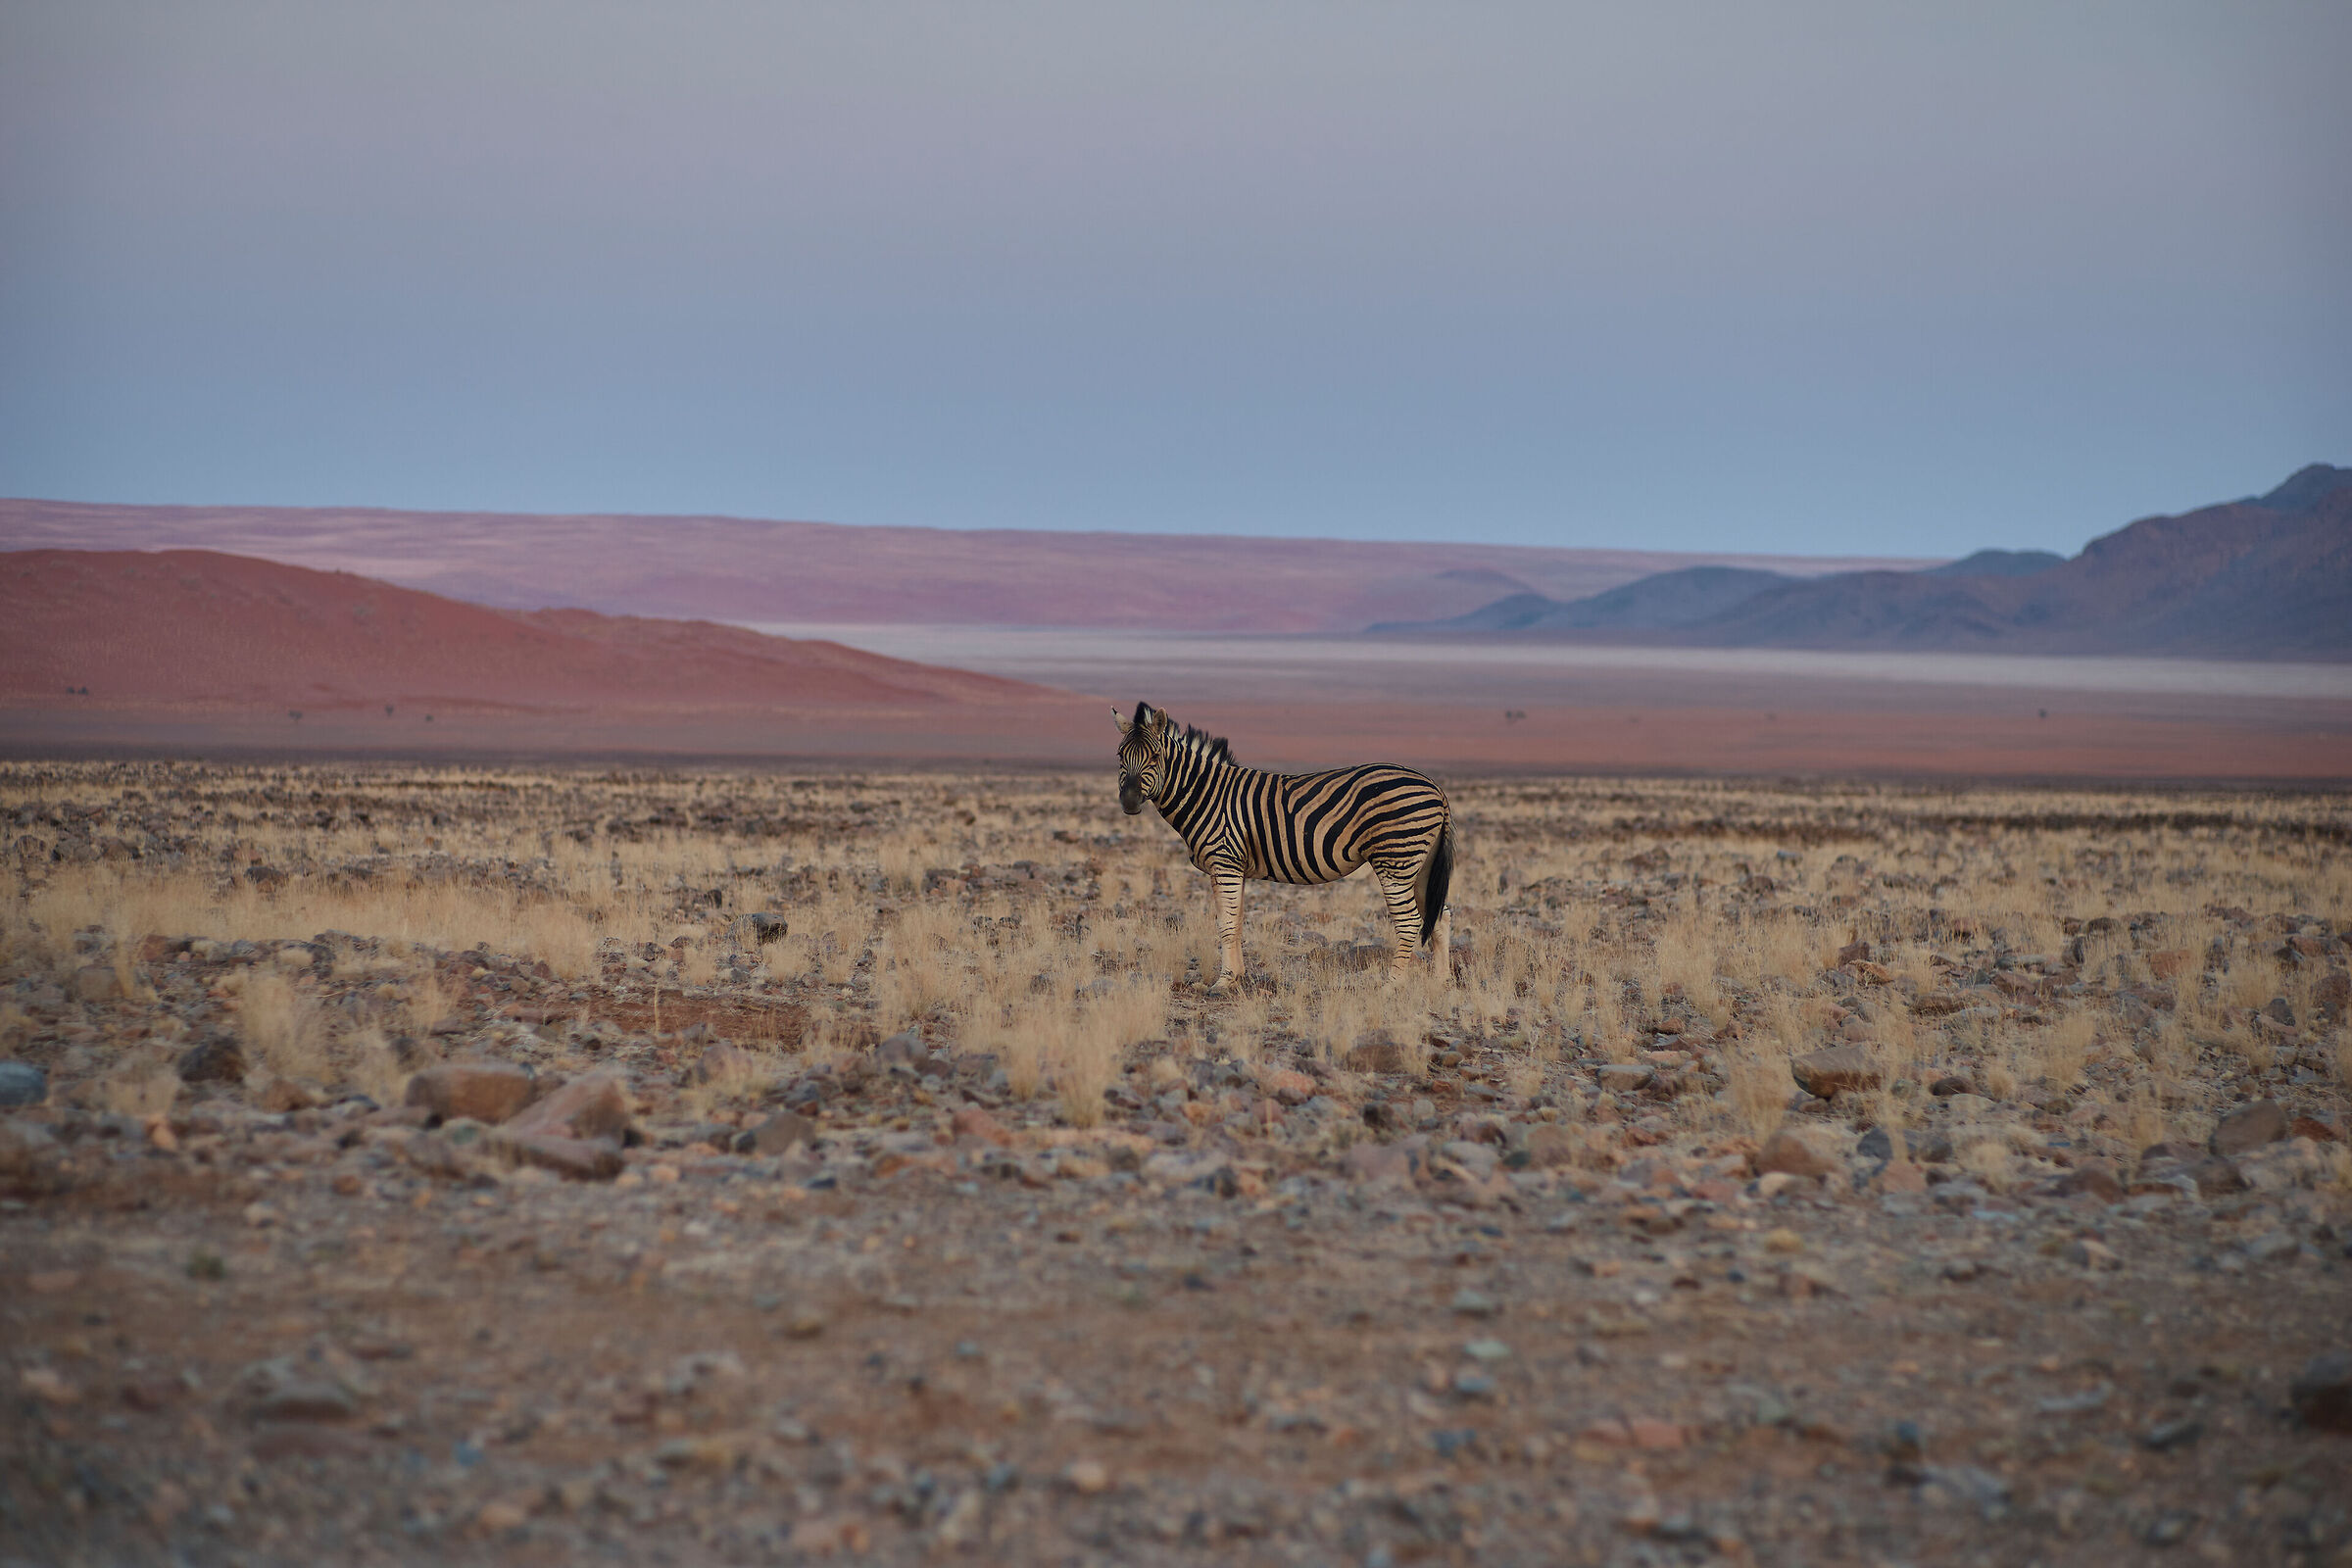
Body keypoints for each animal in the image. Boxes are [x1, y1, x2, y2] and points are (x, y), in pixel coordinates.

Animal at [1113, 701, 1454, 989]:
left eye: (1155, 757)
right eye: (1120, 756)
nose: (1129, 801)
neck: (1205, 794)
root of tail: (1436, 787)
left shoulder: (1225, 862)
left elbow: (1226, 924)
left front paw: (1223, 982)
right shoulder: (1228, 867)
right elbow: (1236, 921)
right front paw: (1237, 977)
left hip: (1395, 861)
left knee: (1409, 922)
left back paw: (1391, 985)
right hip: (1420, 864)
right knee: (1441, 914)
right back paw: (1440, 982)